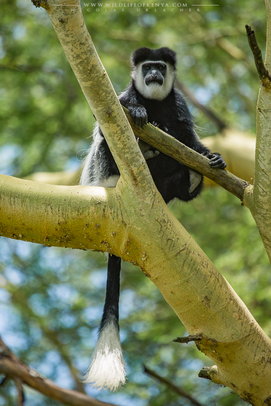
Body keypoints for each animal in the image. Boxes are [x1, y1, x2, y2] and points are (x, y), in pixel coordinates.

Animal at [80, 46, 227, 390]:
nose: (154, 75)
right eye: (148, 67)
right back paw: (143, 148)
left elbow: (189, 141)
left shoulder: (178, 104)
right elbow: (106, 121)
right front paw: (138, 112)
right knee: (106, 142)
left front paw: (211, 157)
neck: (156, 101)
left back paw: (189, 179)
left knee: (180, 167)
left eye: (160, 66)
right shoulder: (124, 95)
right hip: (105, 169)